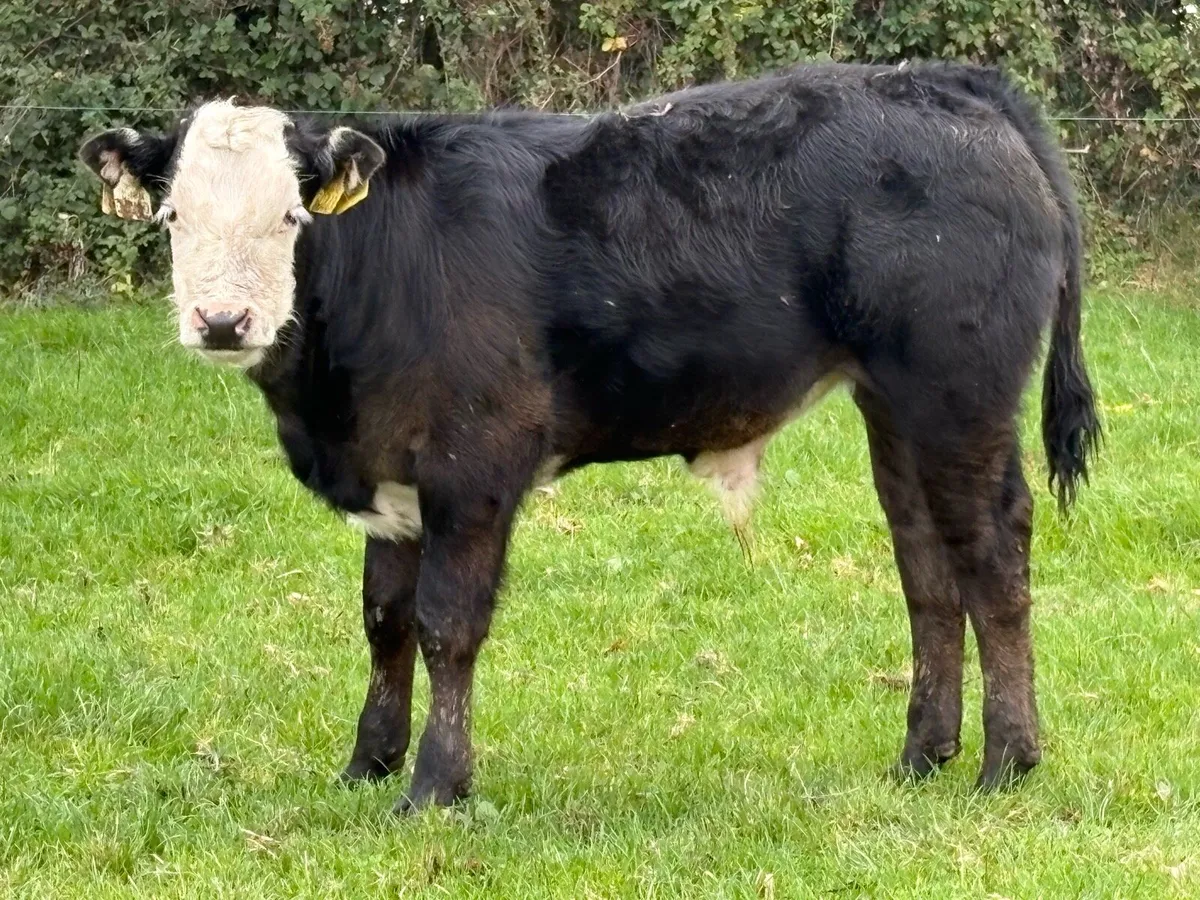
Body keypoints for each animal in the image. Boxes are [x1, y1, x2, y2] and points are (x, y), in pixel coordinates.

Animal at [80, 61, 1100, 813]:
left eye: (291, 215)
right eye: (173, 215)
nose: (222, 321)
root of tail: (953, 85)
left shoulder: (475, 462)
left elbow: (447, 625)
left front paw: (435, 787)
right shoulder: (393, 474)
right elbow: (384, 622)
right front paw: (367, 765)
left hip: (958, 394)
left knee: (993, 556)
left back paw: (1008, 763)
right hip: (896, 405)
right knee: (927, 565)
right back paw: (922, 756)